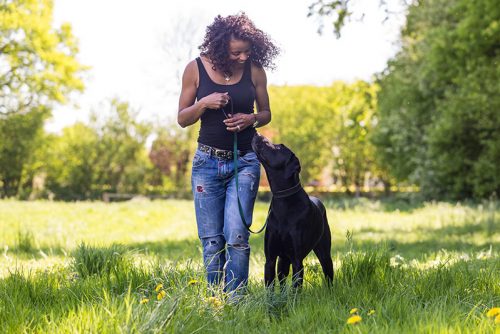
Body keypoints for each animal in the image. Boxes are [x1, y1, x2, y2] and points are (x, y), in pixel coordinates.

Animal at [252, 132, 334, 288]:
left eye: (279, 147)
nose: (257, 133)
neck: (283, 200)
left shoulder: (297, 260)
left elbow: (296, 288)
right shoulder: (270, 259)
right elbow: (270, 286)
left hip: (324, 252)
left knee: (329, 274)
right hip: (283, 259)